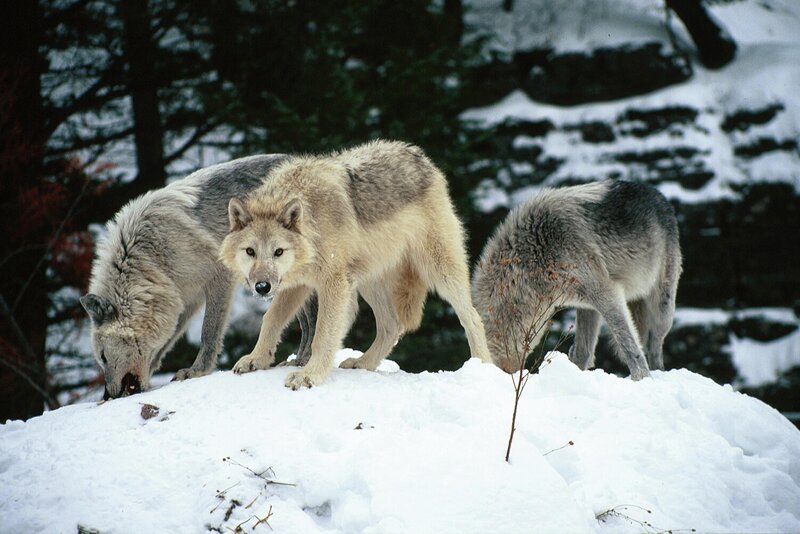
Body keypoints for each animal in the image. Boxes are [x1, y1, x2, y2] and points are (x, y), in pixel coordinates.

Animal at [81, 155, 316, 399]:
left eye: (103, 357)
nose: (107, 396)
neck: (151, 259)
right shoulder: (181, 300)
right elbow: (165, 344)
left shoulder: (218, 278)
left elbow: (208, 332)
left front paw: (197, 371)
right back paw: (299, 359)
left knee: (313, 317)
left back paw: (304, 358)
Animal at [219, 139, 493, 389]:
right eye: (250, 252)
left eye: (278, 252)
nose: (262, 287)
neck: (312, 222)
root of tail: (418, 154)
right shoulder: (298, 284)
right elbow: (271, 319)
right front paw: (256, 359)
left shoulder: (333, 283)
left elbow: (322, 335)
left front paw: (310, 375)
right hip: (367, 281)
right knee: (392, 325)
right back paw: (363, 363)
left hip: (439, 272)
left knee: (472, 317)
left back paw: (483, 367)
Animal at [471, 180, 682, 380]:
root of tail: (658, 195)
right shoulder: (590, 302)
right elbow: (583, 352)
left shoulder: (606, 293)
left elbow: (629, 345)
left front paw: (641, 378)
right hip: (597, 308)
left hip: (662, 308)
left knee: (654, 344)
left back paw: (657, 372)